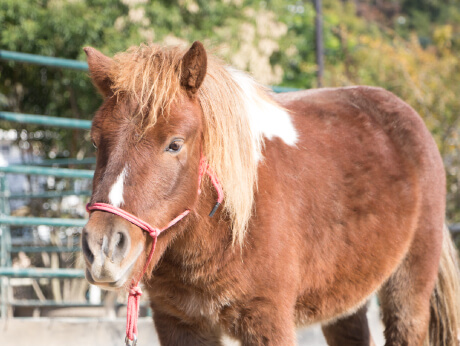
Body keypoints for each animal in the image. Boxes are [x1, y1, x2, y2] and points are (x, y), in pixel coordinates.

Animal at [82, 42, 460, 344]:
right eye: (96, 141)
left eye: (174, 144)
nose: (103, 248)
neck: (225, 228)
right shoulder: (178, 320)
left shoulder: (267, 319)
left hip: (408, 293)